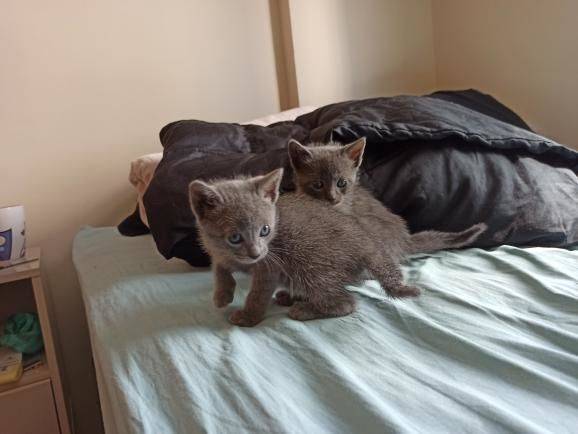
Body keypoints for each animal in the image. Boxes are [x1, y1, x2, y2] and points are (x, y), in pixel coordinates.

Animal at [188, 169, 420, 327]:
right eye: (235, 237)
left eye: (265, 230)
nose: (255, 253)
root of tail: (366, 241)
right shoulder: (218, 251)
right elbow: (219, 268)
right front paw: (222, 294)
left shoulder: (270, 265)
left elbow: (258, 293)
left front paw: (249, 316)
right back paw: (291, 297)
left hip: (308, 261)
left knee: (345, 302)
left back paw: (304, 309)